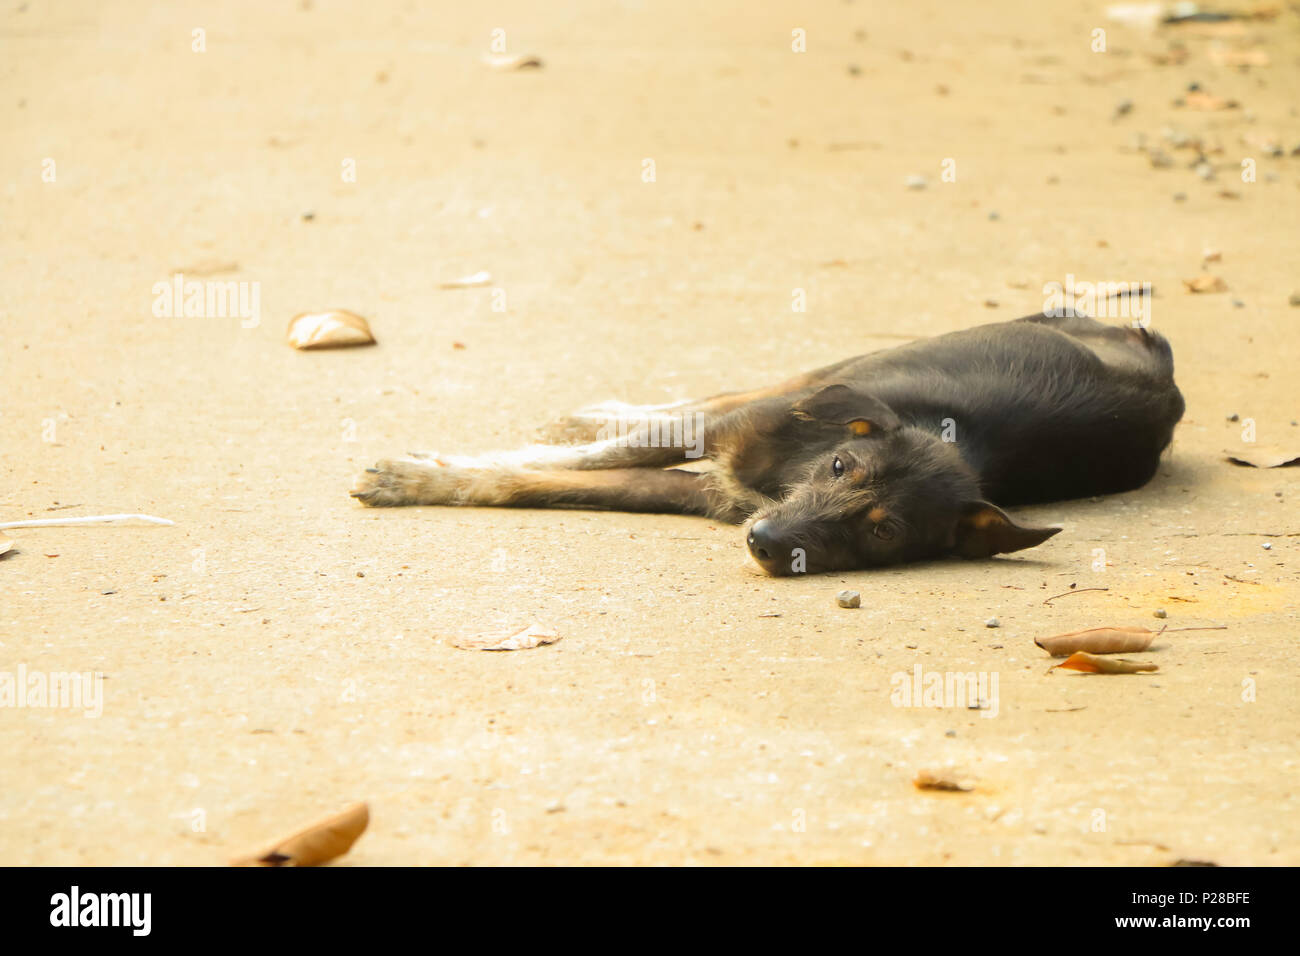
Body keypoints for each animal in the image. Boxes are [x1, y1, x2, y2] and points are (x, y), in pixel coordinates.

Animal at [351, 312, 1185, 574]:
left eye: (883, 532)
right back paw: (584, 414)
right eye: (841, 464)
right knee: (695, 401)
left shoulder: (705, 492)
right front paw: (413, 473)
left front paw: (424, 477)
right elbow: (589, 458)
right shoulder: (735, 437)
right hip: (826, 374)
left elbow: (546, 482)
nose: (764, 543)